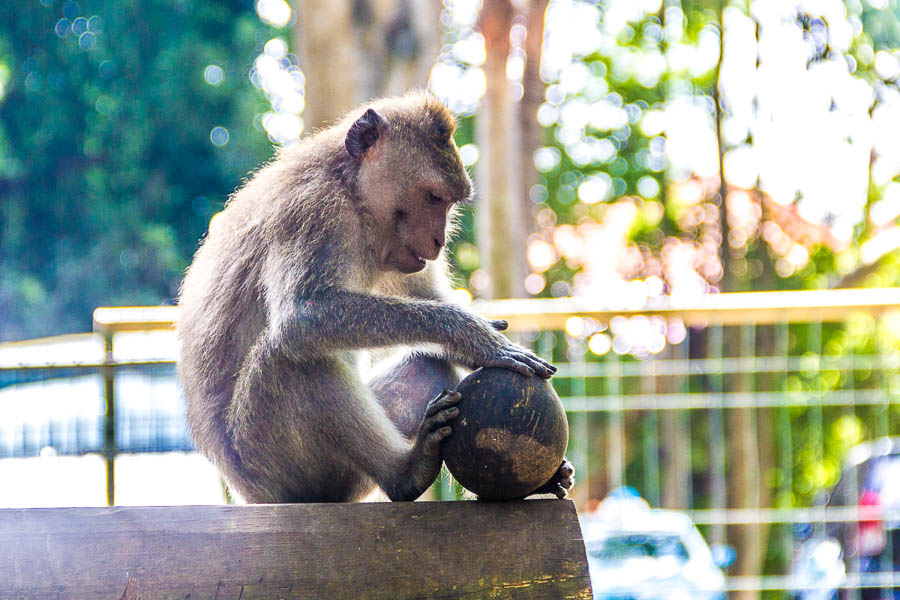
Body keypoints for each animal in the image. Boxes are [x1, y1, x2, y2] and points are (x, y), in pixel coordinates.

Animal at [177, 91, 572, 502]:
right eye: (434, 197)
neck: (350, 189)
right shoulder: (312, 211)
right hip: (268, 460)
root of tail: (246, 490)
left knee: (427, 363)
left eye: (448, 202)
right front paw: (472, 334)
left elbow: (427, 298)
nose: (439, 241)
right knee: (288, 356)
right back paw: (406, 473)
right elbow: (302, 315)